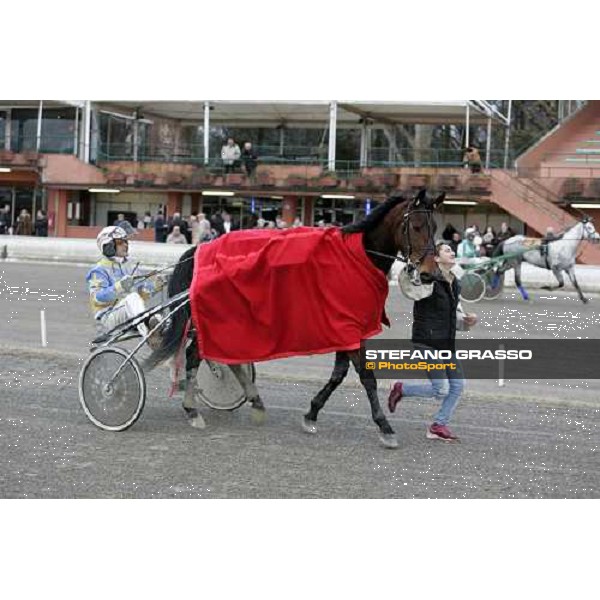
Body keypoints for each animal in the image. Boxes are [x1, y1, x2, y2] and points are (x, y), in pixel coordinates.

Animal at [147, 190, 442, 448]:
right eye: (416, 226)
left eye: (435, 227)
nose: (430, 273)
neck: (358, 257)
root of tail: (200, 249)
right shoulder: (345, 325)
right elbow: (366, 377)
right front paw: (385, 427)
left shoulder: (347, 327)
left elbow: (338, 375)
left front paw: (311, 414)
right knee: (195, 355)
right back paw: (192, 410)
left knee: (223, 356)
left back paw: (254, 401)